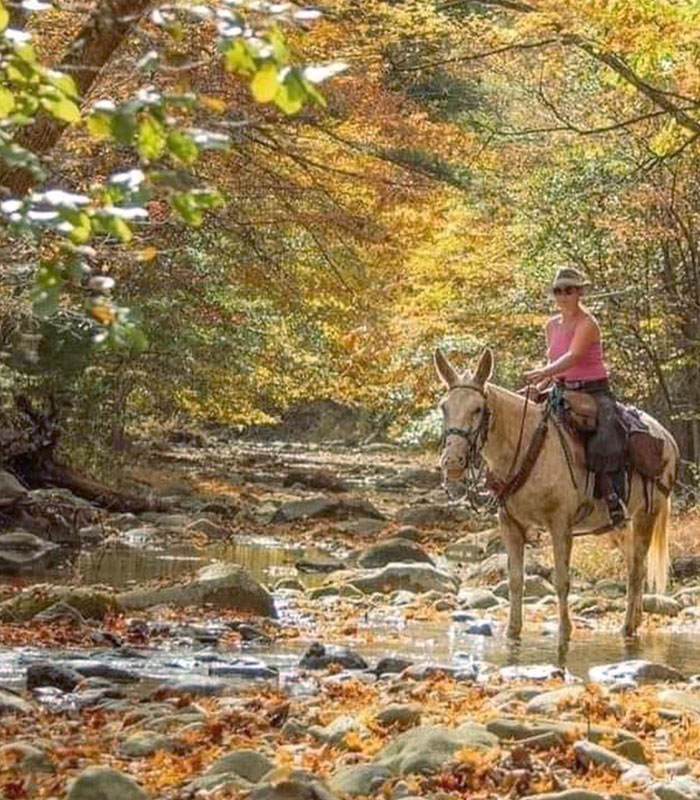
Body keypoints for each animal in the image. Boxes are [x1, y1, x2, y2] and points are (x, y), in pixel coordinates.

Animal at [438, 346, 680, 640]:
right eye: (444, 407)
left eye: (478, 409)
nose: (453, 462)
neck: (526, 446)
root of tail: (666, 437)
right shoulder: (510, 524)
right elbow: (515, 581)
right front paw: (512, 632)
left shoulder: (560, 525)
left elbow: (562, 581)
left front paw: (564, 632)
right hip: (617, 525)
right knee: (636, 566)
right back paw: (634, 621)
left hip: (647, 515)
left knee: (636, 569)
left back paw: (627, 627)